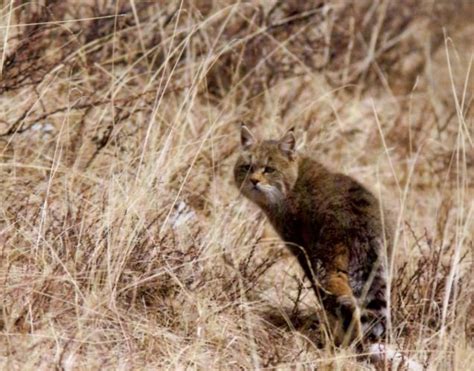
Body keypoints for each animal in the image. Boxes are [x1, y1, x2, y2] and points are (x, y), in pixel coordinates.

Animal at [233, 125, 392, 348]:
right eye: (247, 167)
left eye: (269, 169)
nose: (253, 181)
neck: (294, 180)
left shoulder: (303, 251)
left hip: (328, 267)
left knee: (347, 307)